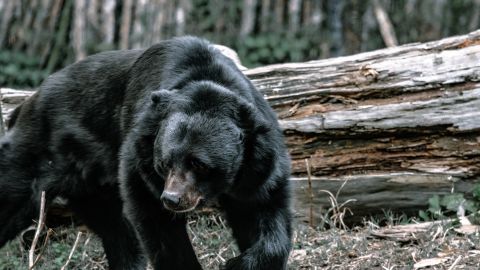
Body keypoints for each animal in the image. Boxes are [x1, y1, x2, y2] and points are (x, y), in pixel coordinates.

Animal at [0, 36, 292, 270]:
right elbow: (158, 225)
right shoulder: (140, 159)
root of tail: (26, 104)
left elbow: (264, 211)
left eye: (199, 164)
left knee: (116, 230)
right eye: (165, 163)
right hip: (37, 153)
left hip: (91, 186)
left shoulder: (258, 166)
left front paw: (239, 262)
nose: (172, 199)